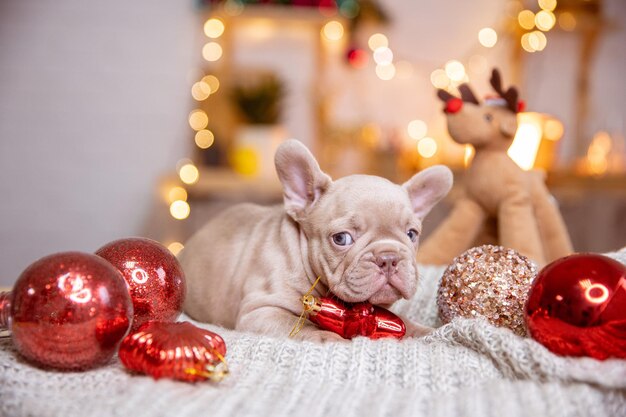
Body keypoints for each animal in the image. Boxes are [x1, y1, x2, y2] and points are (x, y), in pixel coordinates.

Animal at [178, 140, 450, 342]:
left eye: (412, 234)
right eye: (341, 238)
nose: (389, 258)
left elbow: (405, 323)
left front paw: (430, 332)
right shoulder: (260, 311)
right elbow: (305, 327)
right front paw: (330, 337)